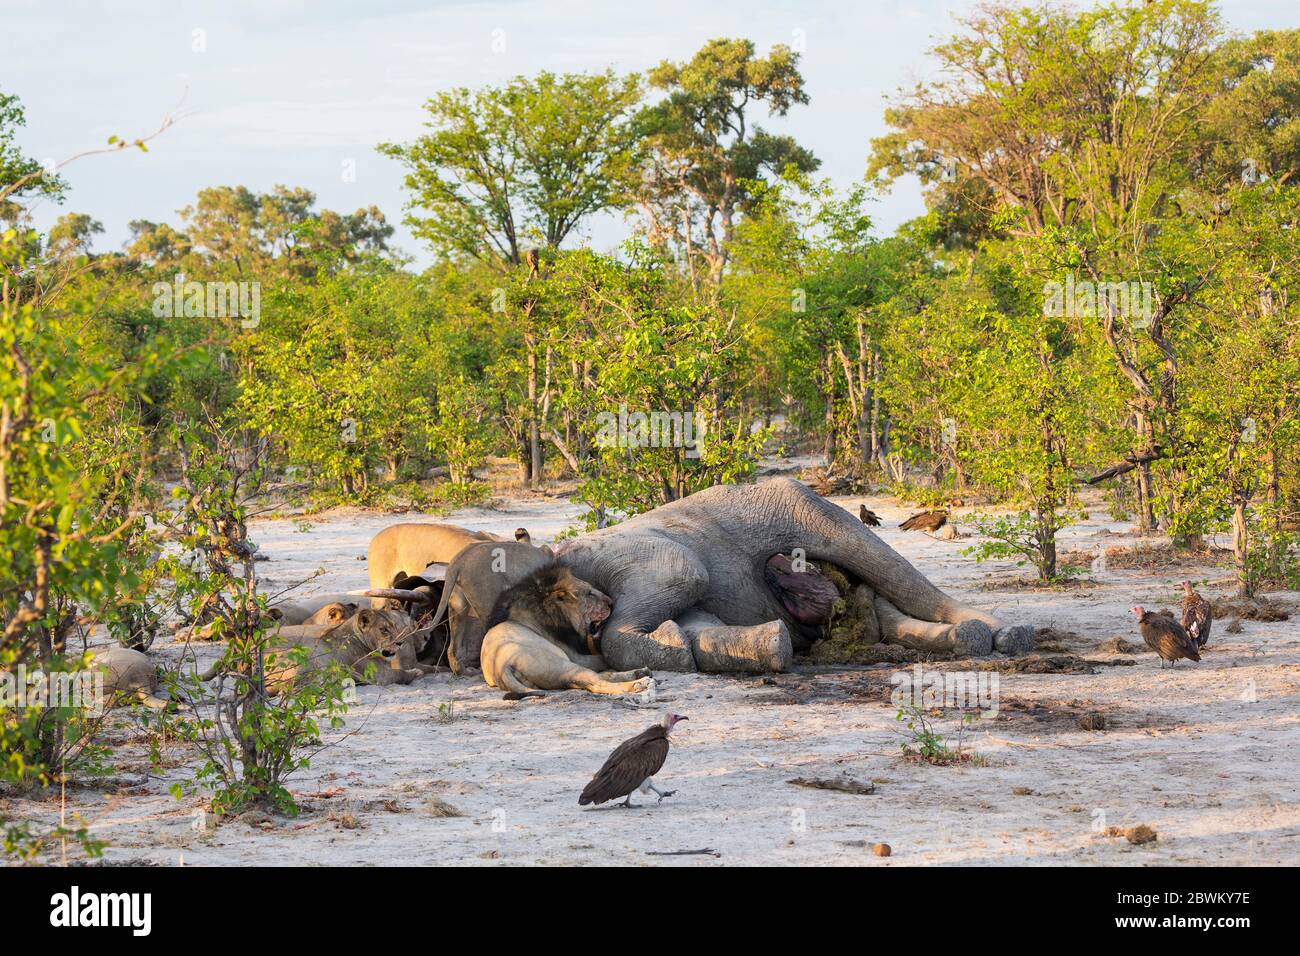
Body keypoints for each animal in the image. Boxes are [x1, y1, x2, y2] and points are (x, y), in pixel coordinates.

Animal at [479, 566, 655, 699]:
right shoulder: (577, 656)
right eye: (590, 593)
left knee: (600, 677)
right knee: (597, 683)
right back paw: (637, 684)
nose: (612, 603)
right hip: (561, 665)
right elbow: (603, 658)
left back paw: (640, 673)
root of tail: (501, 667)